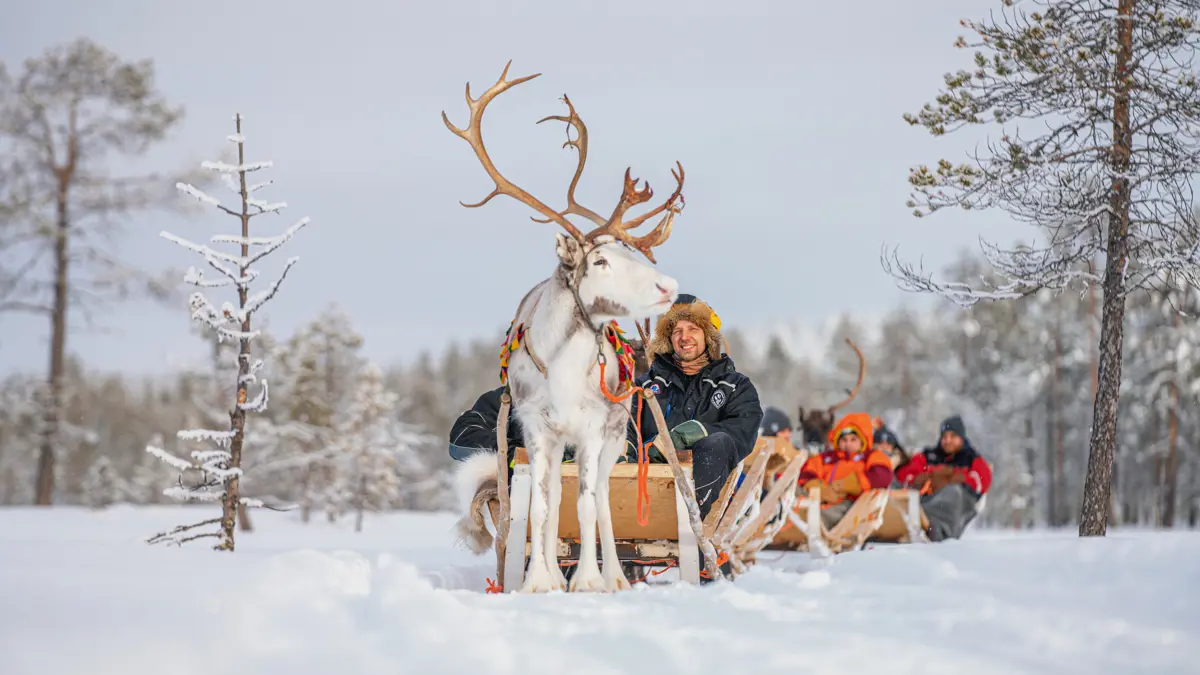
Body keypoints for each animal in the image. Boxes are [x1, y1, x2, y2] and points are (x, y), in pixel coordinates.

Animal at [446, 62, 685, 593]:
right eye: (599, 260)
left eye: (628, 253)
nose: (669, 284)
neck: (562, 368)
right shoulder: (537, 428)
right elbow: (542, 507)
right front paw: (539, 581)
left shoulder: (595, 429)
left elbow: (590, 505)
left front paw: (589, 581)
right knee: (553, 498)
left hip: (617, 437)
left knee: (601, 499)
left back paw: (613, 575)